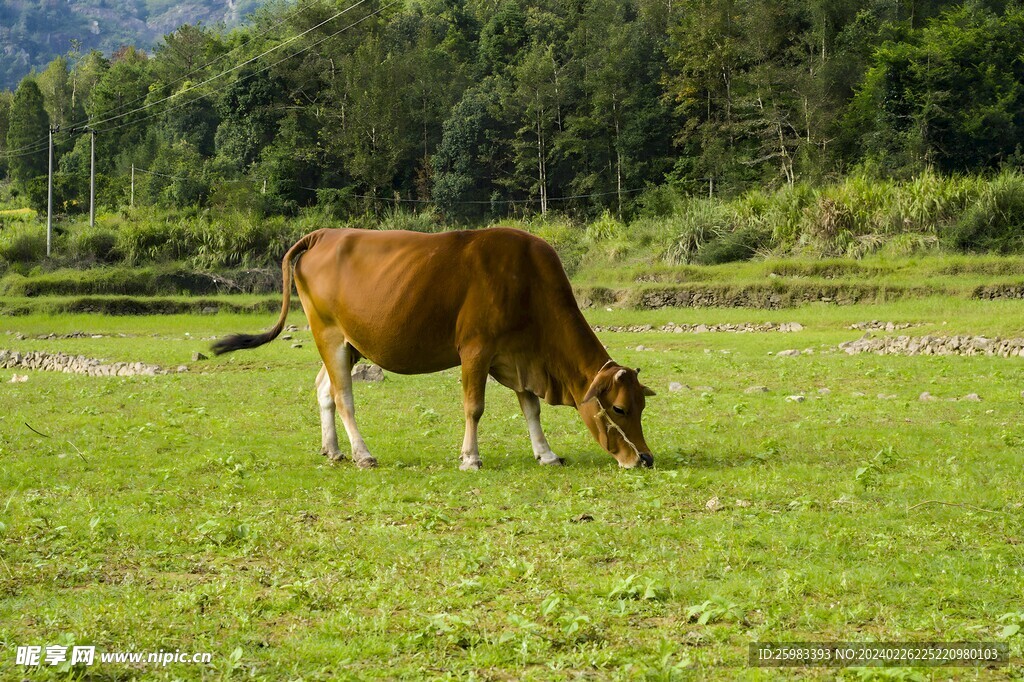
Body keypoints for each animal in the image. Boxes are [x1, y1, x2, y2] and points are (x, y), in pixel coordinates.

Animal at [211, 227, 655, 466]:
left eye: (641, 406)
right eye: (619, 408)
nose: (646, 459)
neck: (527, 281)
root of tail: (323, 235)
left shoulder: (518, 356)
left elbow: (531, 408)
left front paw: (546, 454)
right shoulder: (476, 349)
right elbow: (474, 407)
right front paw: (470, 458)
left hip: (349, 342)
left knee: (323, 389)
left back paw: (333, 450)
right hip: (330, 335)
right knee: (342, 396)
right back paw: (362, 453)